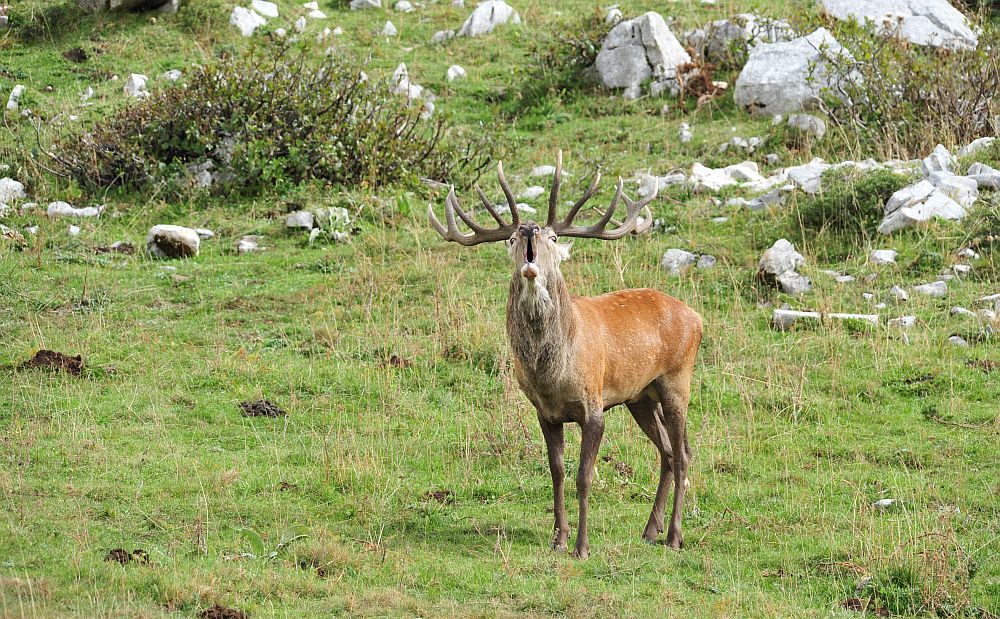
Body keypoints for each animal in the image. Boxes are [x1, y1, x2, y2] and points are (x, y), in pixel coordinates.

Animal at [430, 153, 704, 560]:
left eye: (554, 237)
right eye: (511, 239)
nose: (529, 229)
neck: (553, 374)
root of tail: (697, 318)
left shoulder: (593, 405)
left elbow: (584, 476)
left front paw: (582, 546)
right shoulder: (545, 413)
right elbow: (557, 472)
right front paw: (558, 538)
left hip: (677, 380)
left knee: (684, 453)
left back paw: (673, 536)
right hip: (640, 396)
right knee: (669, 452)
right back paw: (649, 531)